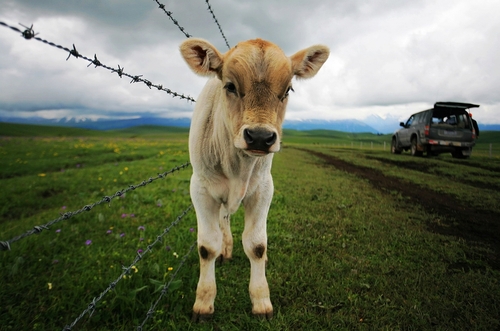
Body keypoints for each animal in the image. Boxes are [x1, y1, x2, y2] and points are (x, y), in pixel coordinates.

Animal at [180, 37, 328, 320]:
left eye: (288, 89)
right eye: (229, 85)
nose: (260, 137)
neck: (236, 165)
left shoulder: (263, 190)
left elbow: (257, 245)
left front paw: (261, 301)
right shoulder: (200, 189)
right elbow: (207, 246)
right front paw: (203, 302)